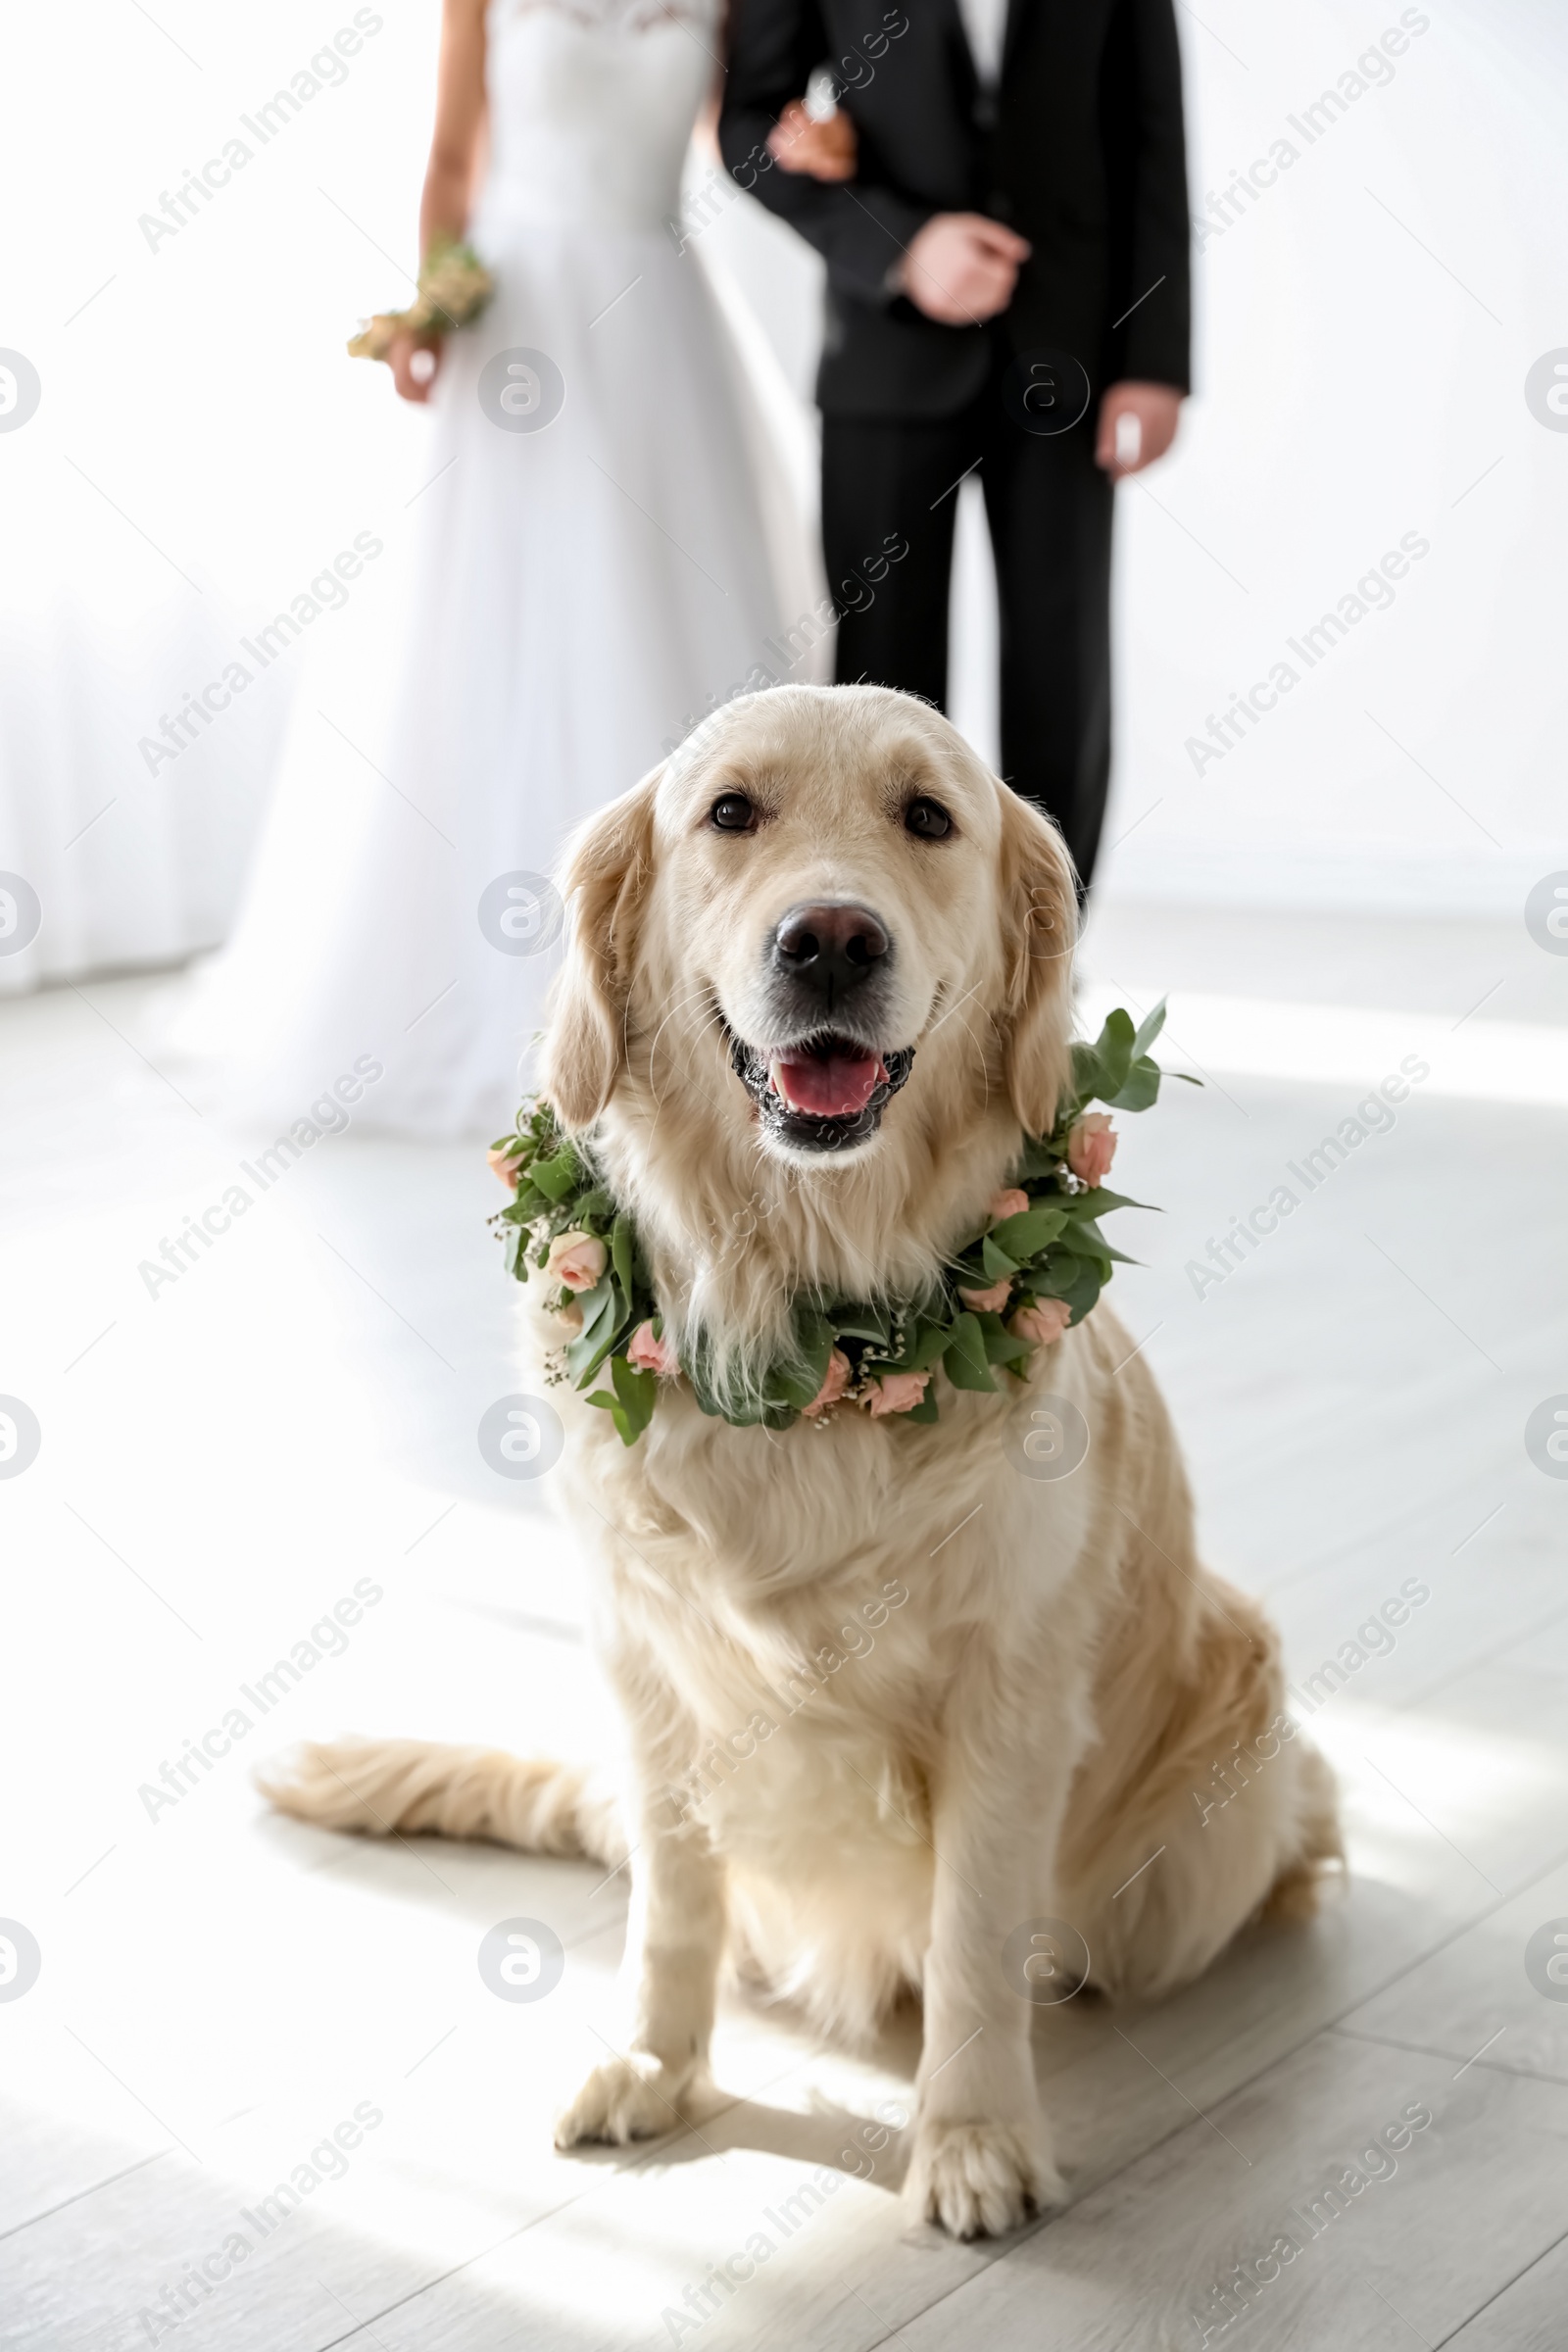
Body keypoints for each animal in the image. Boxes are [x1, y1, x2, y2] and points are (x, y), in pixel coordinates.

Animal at [263, 686, 1345, 2238]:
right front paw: (657, 2066)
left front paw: (971, 2139)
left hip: (1214, 1812)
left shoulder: (1011, 1694)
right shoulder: (647, 1670)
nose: (829, 938)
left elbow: (970, 1937)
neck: (806, 1316)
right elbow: (671, 1907)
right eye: (730, 813)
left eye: (929, 818)